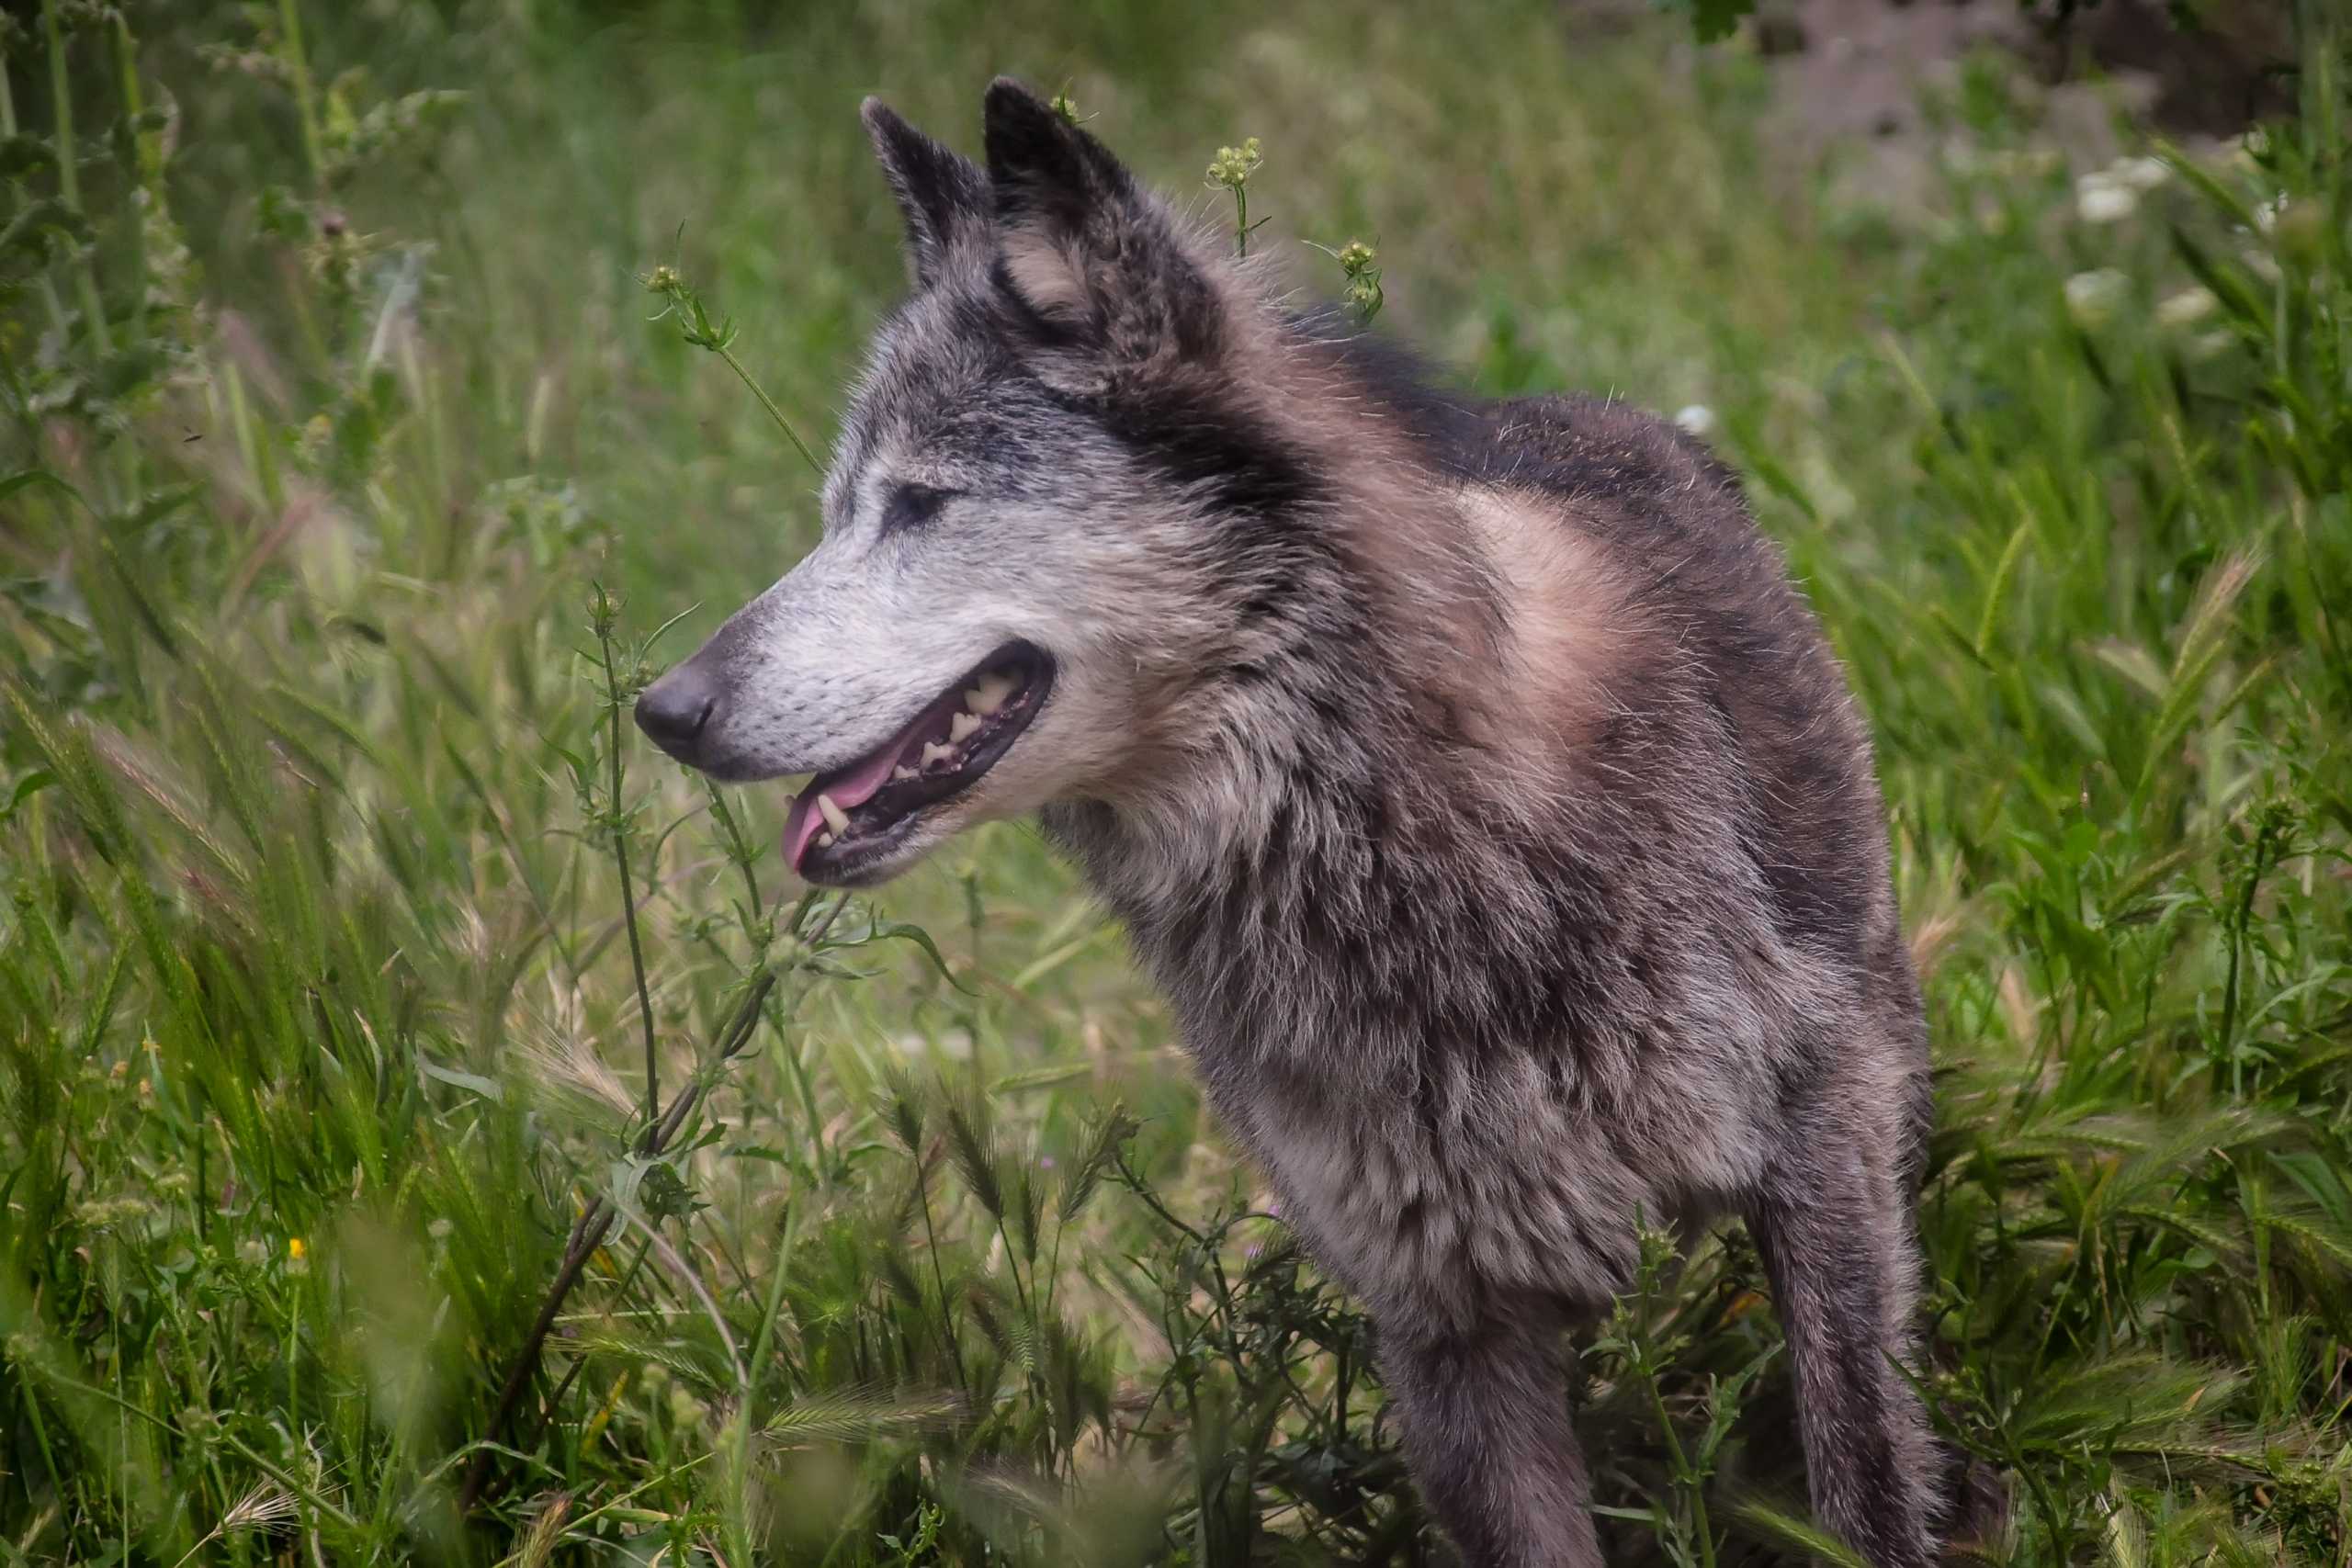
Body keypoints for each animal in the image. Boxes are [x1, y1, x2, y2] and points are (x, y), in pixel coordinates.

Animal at [635, 83, 1938, 1568]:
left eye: (920, 502)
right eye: (835, 515)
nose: (662, 708)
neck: (1406, 842)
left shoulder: (1821, 1153)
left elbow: (1866, 1486)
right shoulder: (1441, 1310)